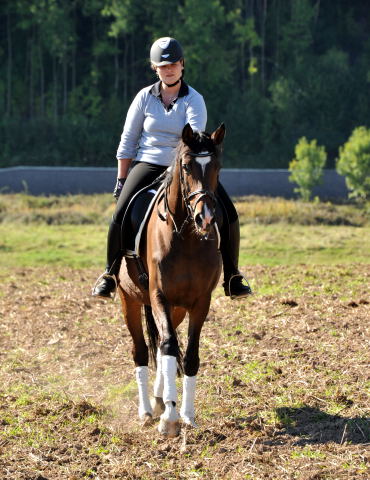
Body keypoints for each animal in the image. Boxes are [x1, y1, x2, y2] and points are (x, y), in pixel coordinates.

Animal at [118, 122, 225, 436]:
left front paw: (185, 414)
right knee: (142, 351)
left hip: (177, 309)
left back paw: (158, 400)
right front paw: (169, 418)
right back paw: (145, 410)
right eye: (187, 166)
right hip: (129, 300)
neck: (186, 237)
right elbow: (166, 348)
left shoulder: (200, 302)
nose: (206, 218)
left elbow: (188, 354)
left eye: (218, 166)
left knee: (166, 342)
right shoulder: (159, 297)